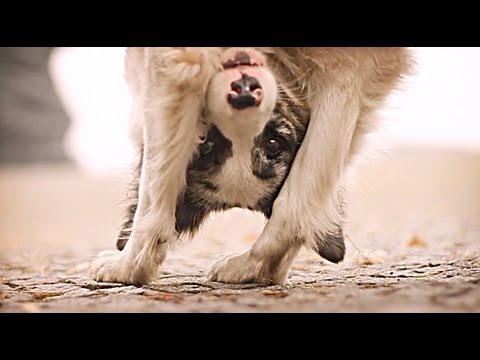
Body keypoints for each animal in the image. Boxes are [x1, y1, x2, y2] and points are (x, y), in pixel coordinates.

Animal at [89, 47, 412, 284]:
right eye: (208, 144)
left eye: (273, 143)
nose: (244, 92)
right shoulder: (348, 71)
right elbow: (298, 199)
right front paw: (258, 267)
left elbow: (152, 198)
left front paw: (127, 266)